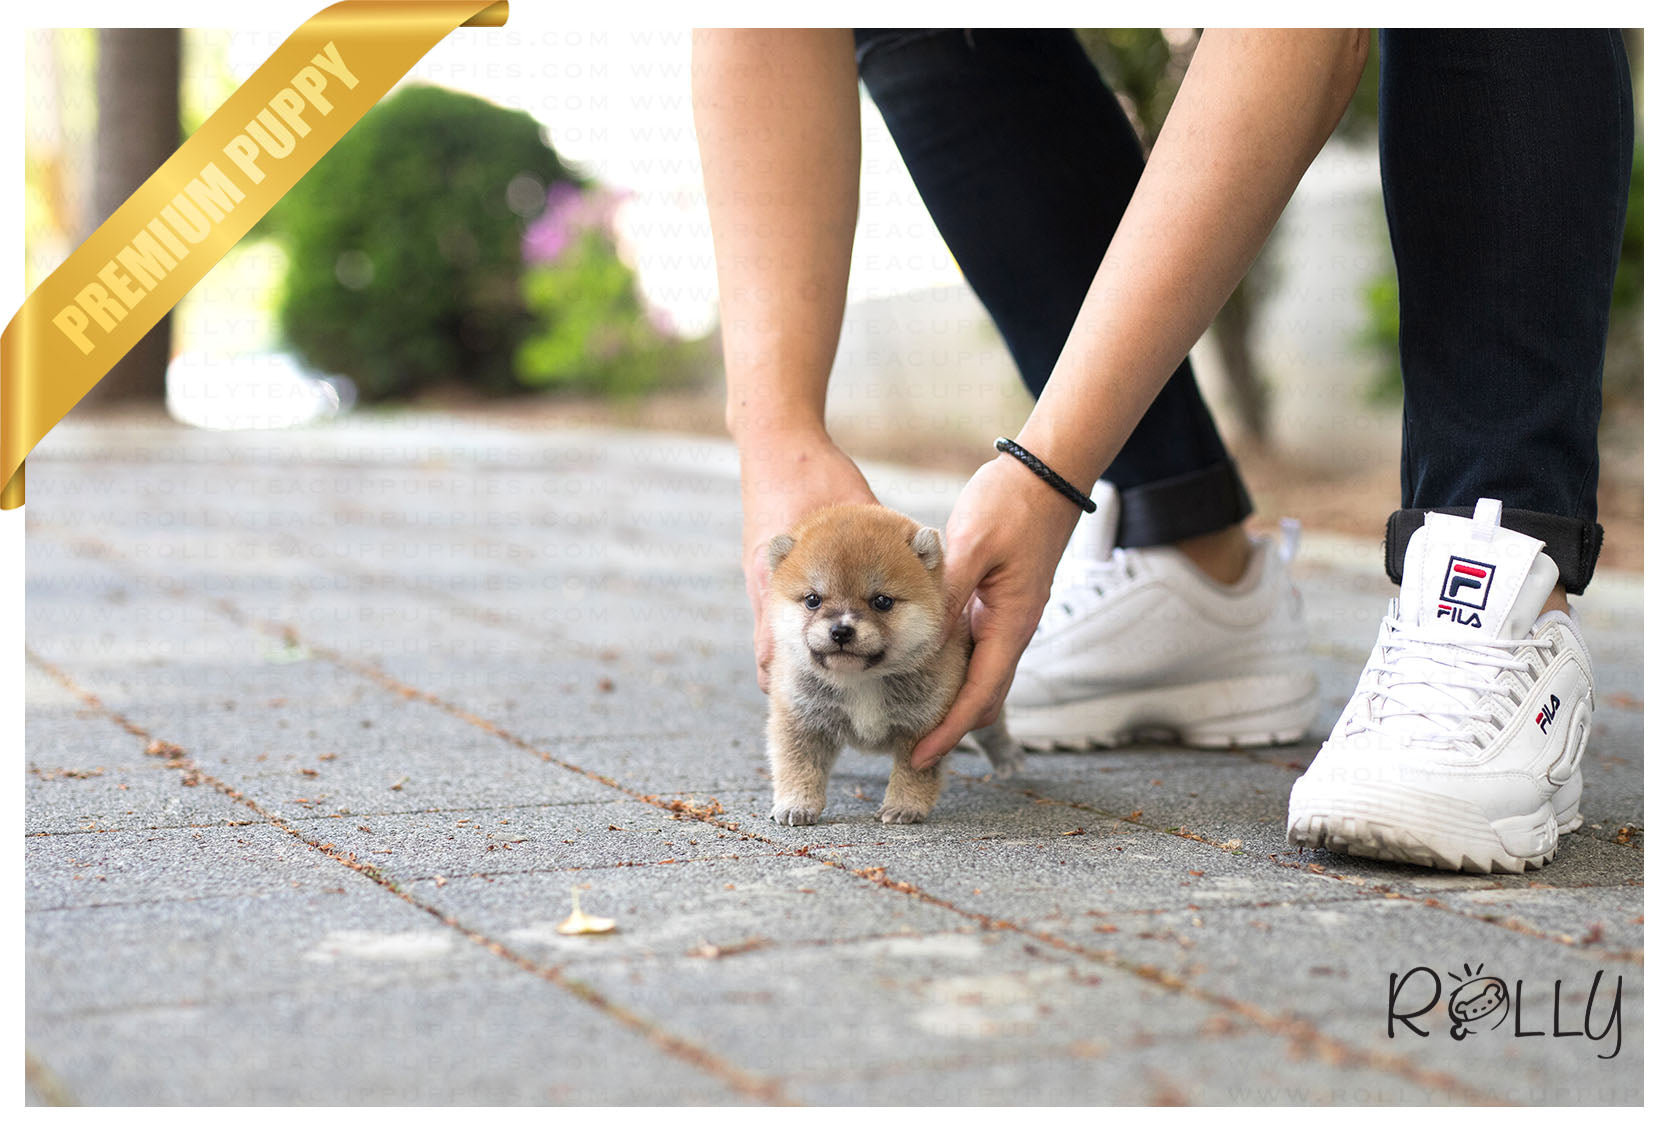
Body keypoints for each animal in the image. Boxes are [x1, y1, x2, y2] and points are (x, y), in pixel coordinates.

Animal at [765, 504, 1022, 825]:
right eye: (813, 600)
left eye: (882, 601)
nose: (841, 631)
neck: (862, 680)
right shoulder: (801, 719)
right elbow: (798, 766)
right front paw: (796, 804)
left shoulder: (924, 729)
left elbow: (913, 772)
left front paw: (904, 805)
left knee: (993, 731)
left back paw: (1009, 760)